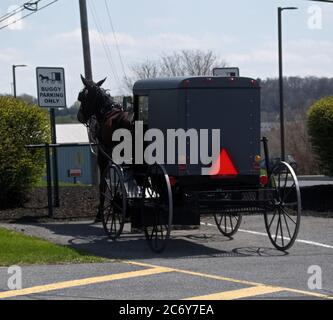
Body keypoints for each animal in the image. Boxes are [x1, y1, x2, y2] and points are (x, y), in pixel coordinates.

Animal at [77, 75, 133, 221]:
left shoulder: (104, 156)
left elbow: (103, 183)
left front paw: (100, 213)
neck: (107, 113)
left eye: (81, 97)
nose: (79, 116)